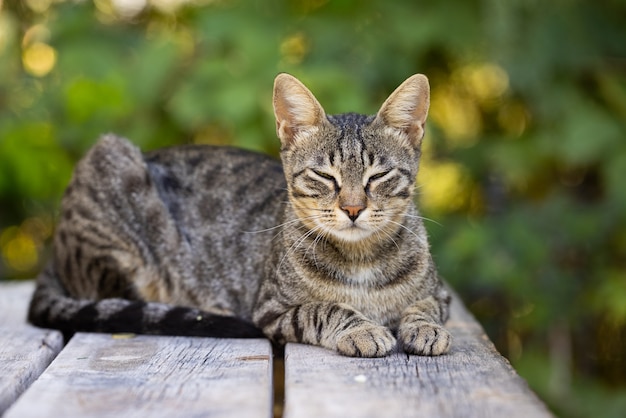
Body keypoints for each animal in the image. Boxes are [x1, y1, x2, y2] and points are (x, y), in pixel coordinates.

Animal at [28, 73, 448, 358]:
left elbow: (425, 306)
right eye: (324, 176)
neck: (361, 259)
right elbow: (325, 309)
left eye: (378, 176)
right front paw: (362, 329)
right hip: (111, 166)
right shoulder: (271, 310)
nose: (353, 208)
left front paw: (425, 328)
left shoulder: (440, 292)